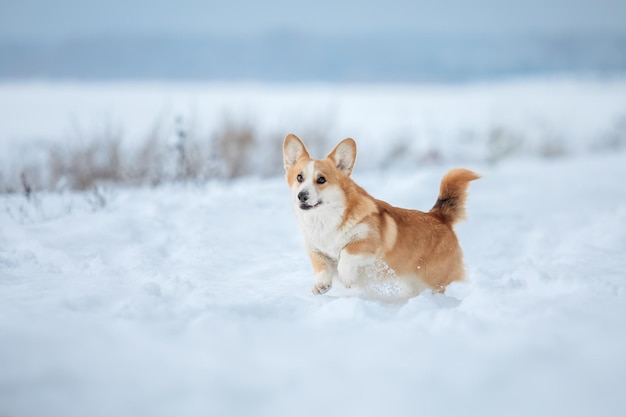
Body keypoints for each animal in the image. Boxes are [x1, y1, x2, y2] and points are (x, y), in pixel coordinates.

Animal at [282, 134, 478, 296]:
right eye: (299, 177)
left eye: (321, 179)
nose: (301, 196)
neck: (324, 221)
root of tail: (439, 216)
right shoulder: (315, 250)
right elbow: (321, 266)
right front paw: (321, 285)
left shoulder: (367, 243)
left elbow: (346, 253)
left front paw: (346, 277)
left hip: (434, 280)